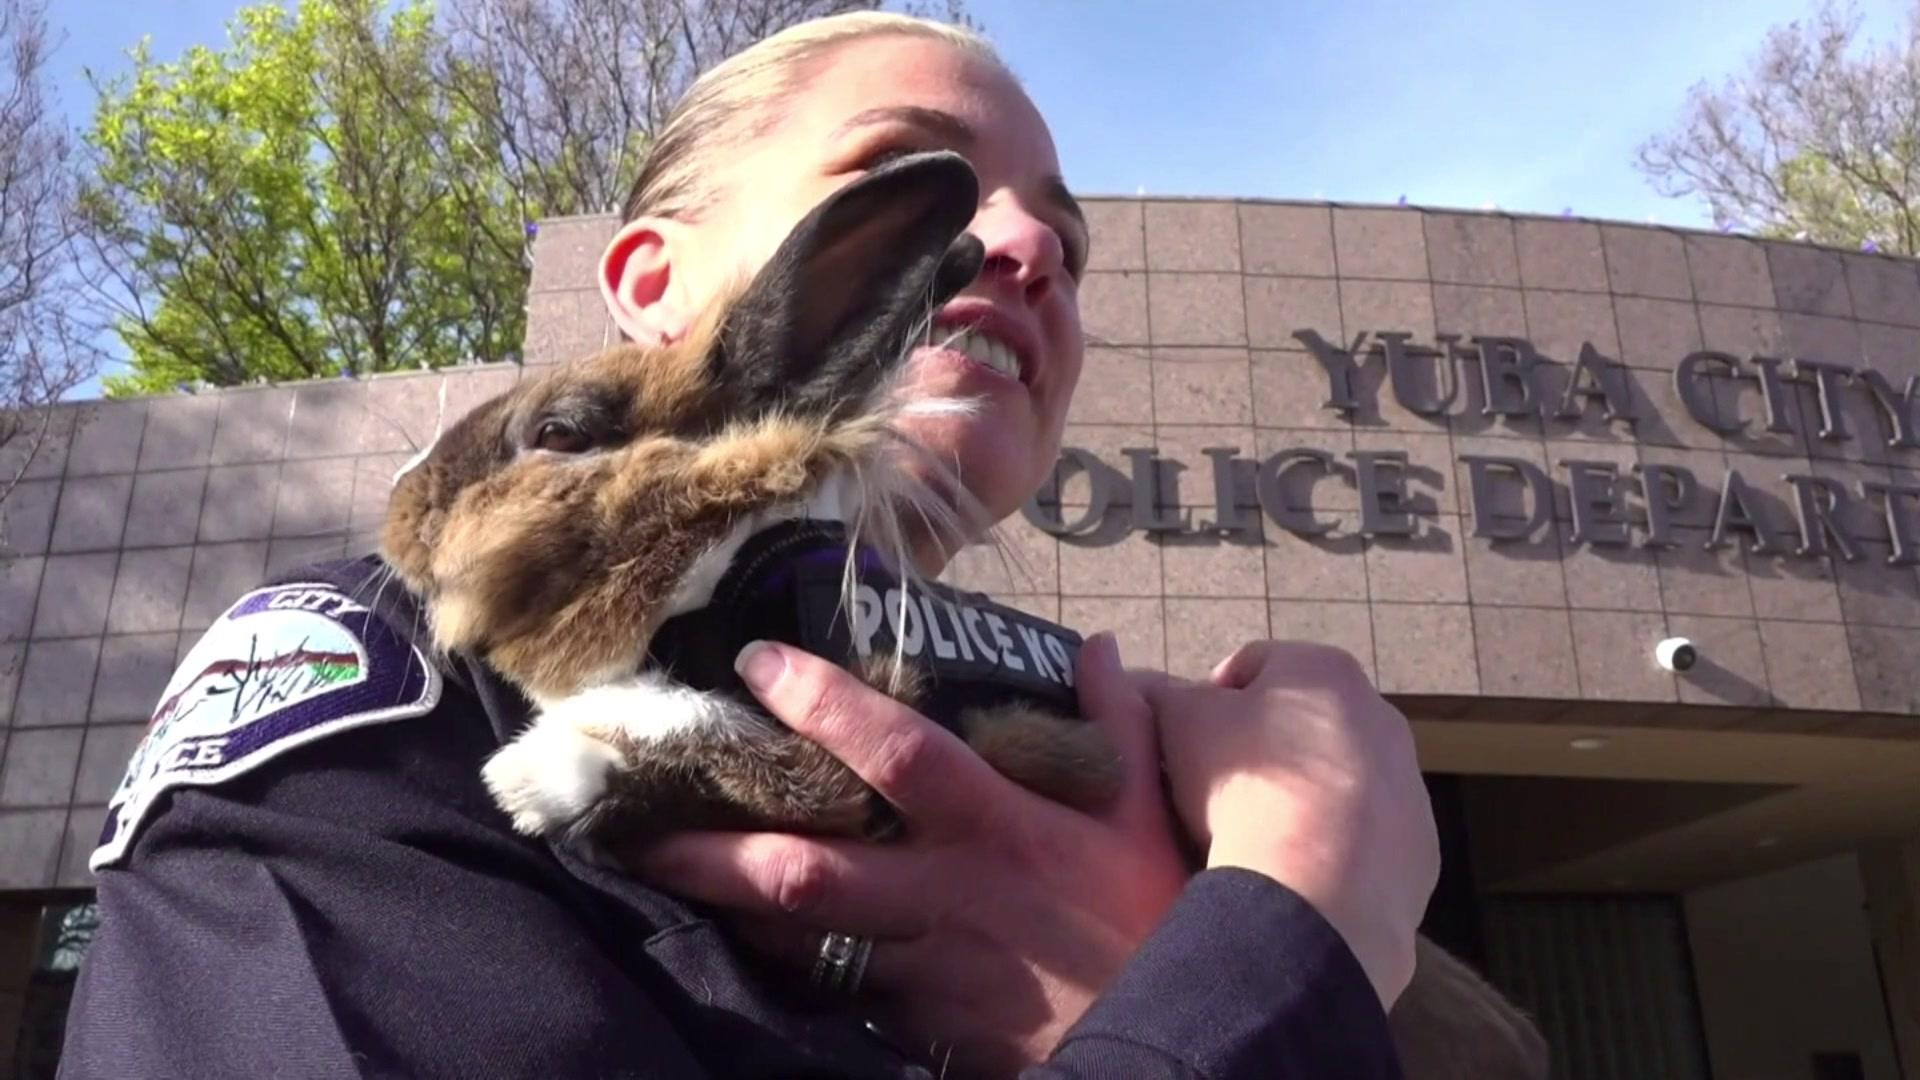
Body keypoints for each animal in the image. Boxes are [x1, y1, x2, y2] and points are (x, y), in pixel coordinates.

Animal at [382, 145, 1551, 1076]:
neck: (721, 574)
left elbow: (723, 739)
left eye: (562, 433)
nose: (399, 512)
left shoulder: (872, 742)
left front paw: (535, 774)